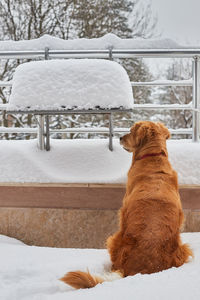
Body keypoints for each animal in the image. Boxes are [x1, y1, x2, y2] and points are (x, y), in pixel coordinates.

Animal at [61, 121, 194, 288]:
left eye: (130, 131)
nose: (120, 137)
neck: (153, 156)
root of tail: (142, 270)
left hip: (114, 239)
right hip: (184, 248)